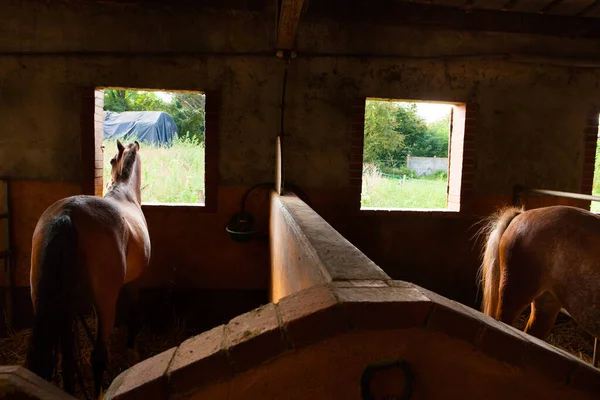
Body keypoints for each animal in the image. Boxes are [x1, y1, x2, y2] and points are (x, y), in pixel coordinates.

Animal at [26, 141, 150, 396]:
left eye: (111, 160)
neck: (125, 195)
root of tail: (67, 214)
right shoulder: (135, 283)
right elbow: (133, 313)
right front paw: (132, 348)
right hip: (104, 303)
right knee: (98, 356)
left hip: (49, 300)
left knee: (66, 356)